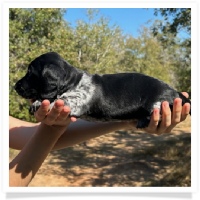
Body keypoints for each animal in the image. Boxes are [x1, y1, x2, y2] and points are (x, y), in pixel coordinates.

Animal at [14, 51, 191, 128]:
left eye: (30, 72)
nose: (15, 86)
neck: (73, 82)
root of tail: (176, 93)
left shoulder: (76, 102)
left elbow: (61, 99)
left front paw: (41, 102)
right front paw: (38, 101)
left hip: (156, 103)